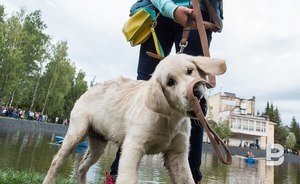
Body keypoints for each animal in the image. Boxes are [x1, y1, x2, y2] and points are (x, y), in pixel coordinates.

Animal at [41, 53, 225, 184]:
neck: (170, 120)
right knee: (56, 161)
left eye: (190, 71)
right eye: (170, 82)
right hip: (76, 132)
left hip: (98, 143)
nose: (195, 92)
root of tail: (90, 88)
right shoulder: (132, 147)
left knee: (81, 167)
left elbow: (187, 180)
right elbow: (128, 178)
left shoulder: (177, 155)